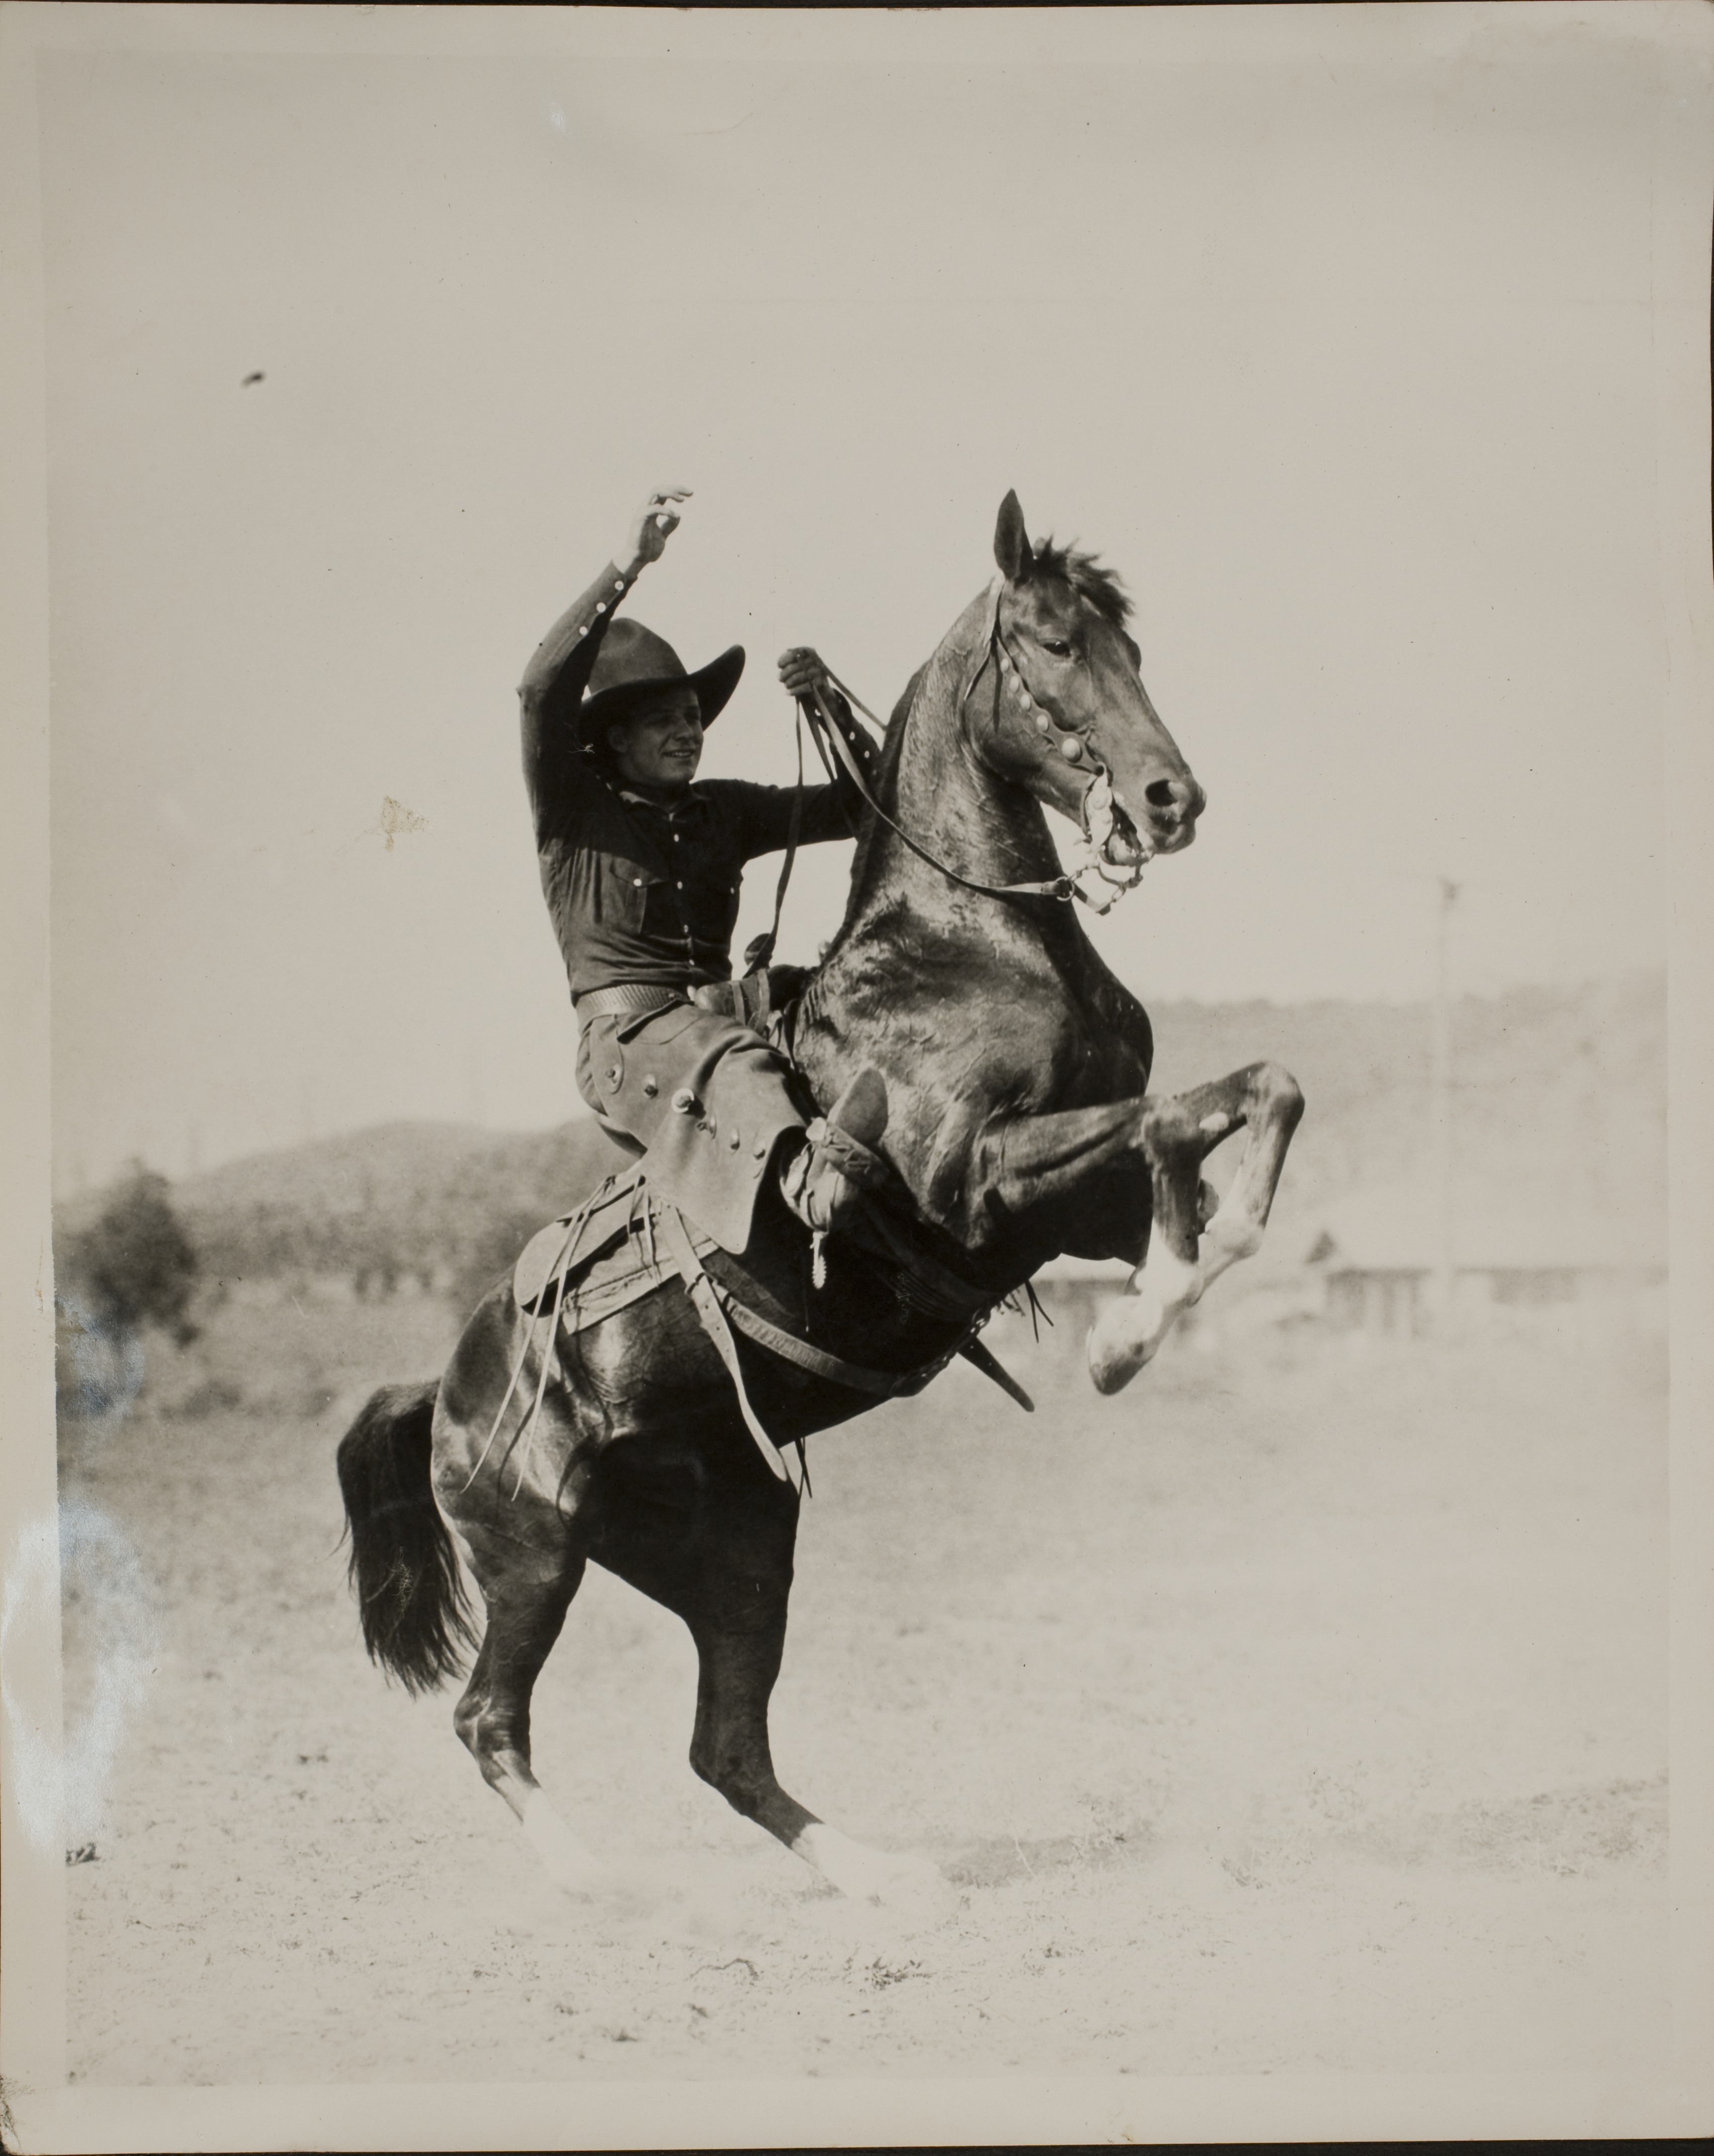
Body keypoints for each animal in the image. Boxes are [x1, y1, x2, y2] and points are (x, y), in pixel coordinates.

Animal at [336, 491, 1304, 1912]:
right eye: (1052, 641)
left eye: (1133, 645)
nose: (1168, 798)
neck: (967, 942)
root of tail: (440, 1390)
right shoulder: (979, 1180)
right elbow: (1180, 1121)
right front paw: (1129, 1336)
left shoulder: (1069, 1204)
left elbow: (1247, 1100)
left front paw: (1161, 1296)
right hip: (535, 1550)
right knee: (490, 1717)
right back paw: (598, 1881)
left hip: (742, 1548)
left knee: (725, 1744)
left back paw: (882, 1874)